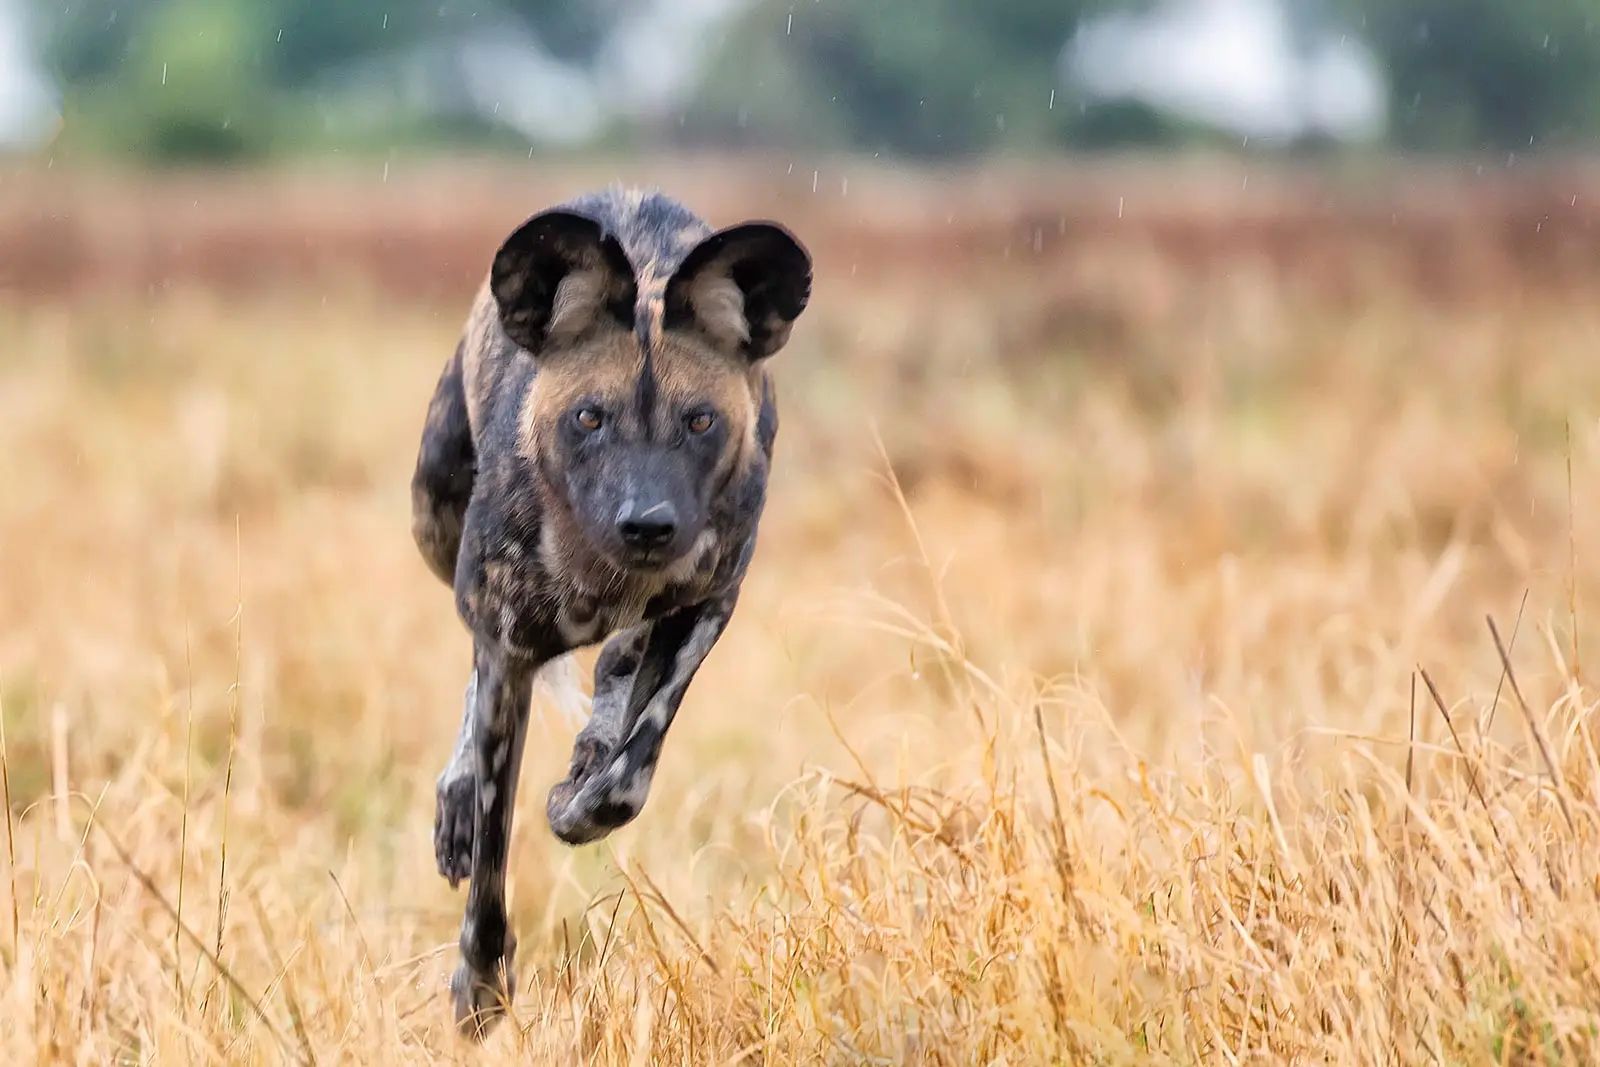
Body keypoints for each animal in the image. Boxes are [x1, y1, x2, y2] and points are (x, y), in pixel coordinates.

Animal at [412, 187, 812, 1036]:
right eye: (590, 418)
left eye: (700, 421)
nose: (648, 524)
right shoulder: (507, 647)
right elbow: (494, 854)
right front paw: (480, 987)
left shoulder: (709, 602)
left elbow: (632, 768)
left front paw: (580, 797)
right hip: (434, 520)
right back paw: (460, 800)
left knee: (616, 662)